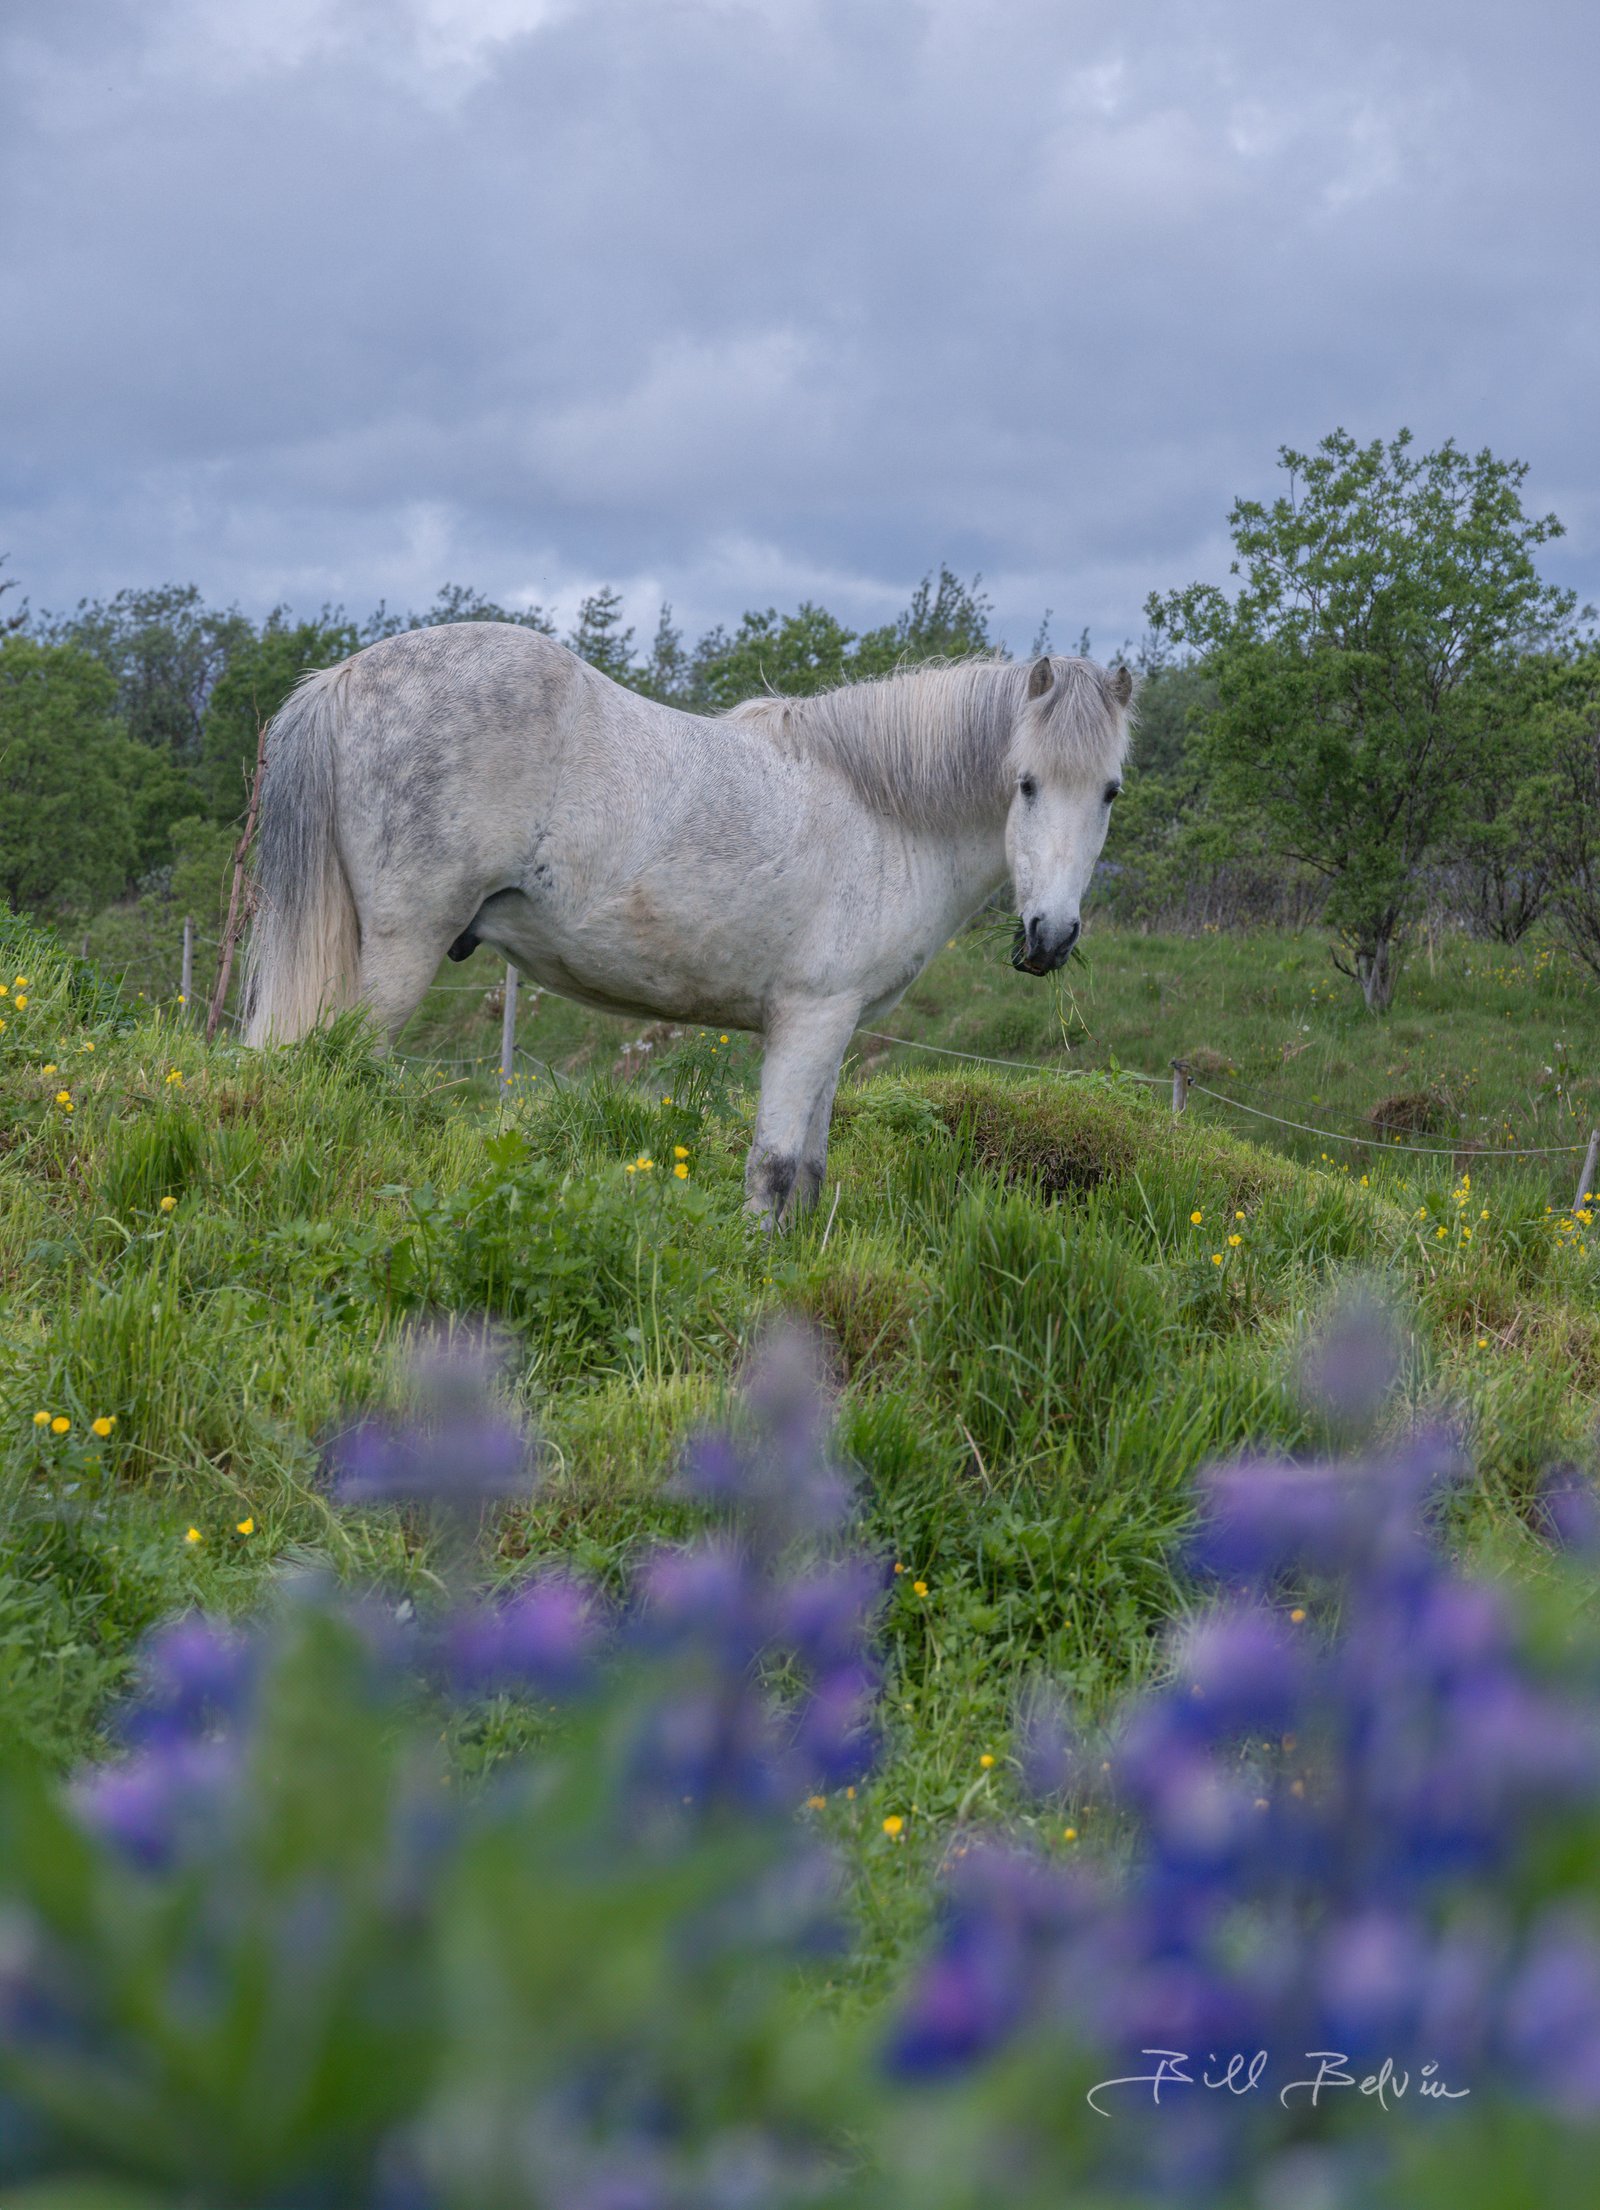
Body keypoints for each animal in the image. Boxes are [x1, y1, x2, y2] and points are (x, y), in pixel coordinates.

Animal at [244, 625, 1134, 1221]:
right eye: (1025, 783)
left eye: (1109, 790)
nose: (1050, 939)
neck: (881, 811)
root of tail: (346, 674)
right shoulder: (808, 1019)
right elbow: (773, 1169)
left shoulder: (836, 1026)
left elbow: (810, 1172)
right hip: (400, 956)